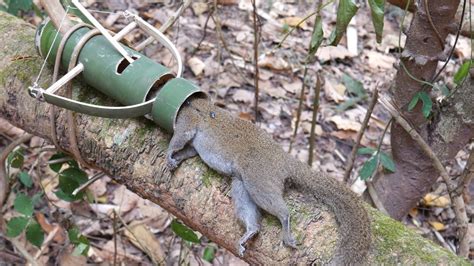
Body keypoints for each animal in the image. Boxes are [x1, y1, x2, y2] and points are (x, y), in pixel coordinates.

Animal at [166, 96, 370, 264]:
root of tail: (283, 159)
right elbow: (189, 150)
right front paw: (176, 159)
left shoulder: (187, 118)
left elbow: (180, 138)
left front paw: (169, 155)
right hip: (245, 180)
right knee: (243, 195)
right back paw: (251, 230)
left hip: (259, 176)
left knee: (277, 207)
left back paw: (284, 225)